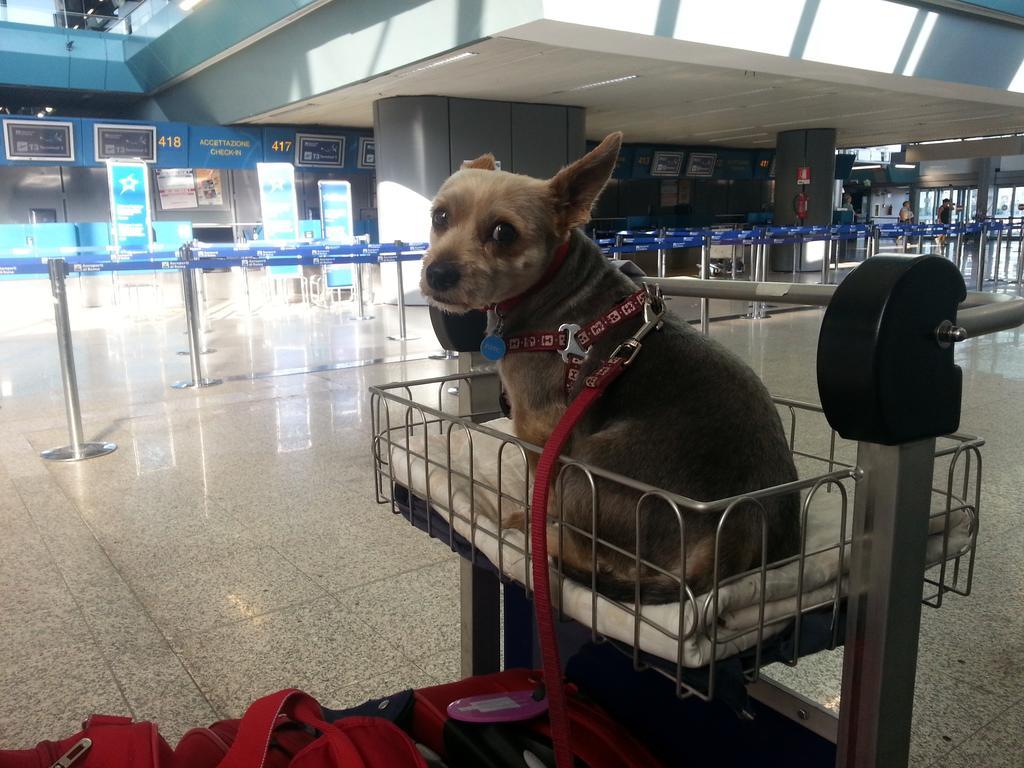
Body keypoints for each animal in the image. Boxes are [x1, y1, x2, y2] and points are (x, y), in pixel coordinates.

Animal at [415, 135, 798, 606]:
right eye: (440, 216)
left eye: (504, 232)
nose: (437, 272)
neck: (553, 288)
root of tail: (735, 536)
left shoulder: (539, 432)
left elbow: (543, 495)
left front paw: (534, 516)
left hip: (588, 468)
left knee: (588, 554)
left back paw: (537, 536)